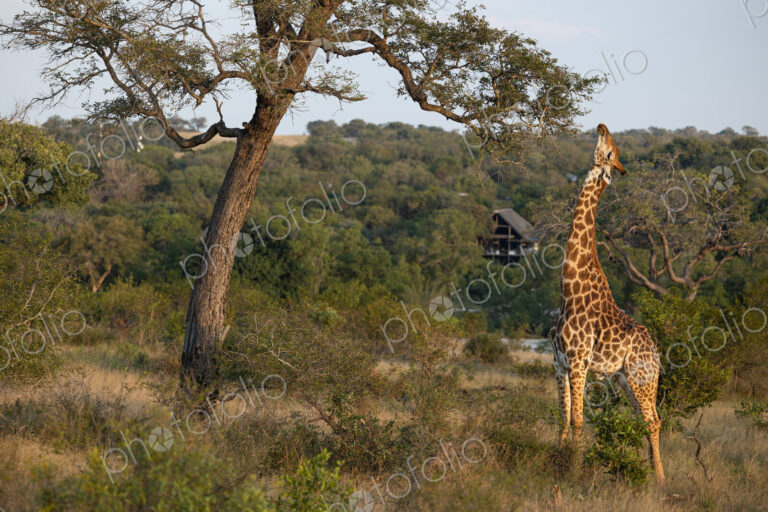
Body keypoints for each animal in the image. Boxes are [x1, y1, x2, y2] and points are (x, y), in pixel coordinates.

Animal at [550, 124, 665, 483]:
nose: (601, 126)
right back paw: (650, 471)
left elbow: (577, 419)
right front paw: (559, 456)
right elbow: (562, 416)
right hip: (625, 378)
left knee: (653, 420)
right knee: (646, 419)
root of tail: (657, 353)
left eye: (609, 151)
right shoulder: (558, 363)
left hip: (642, 377)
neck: (568, 290)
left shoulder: (578, 361)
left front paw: (571, 468)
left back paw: (660, 478)